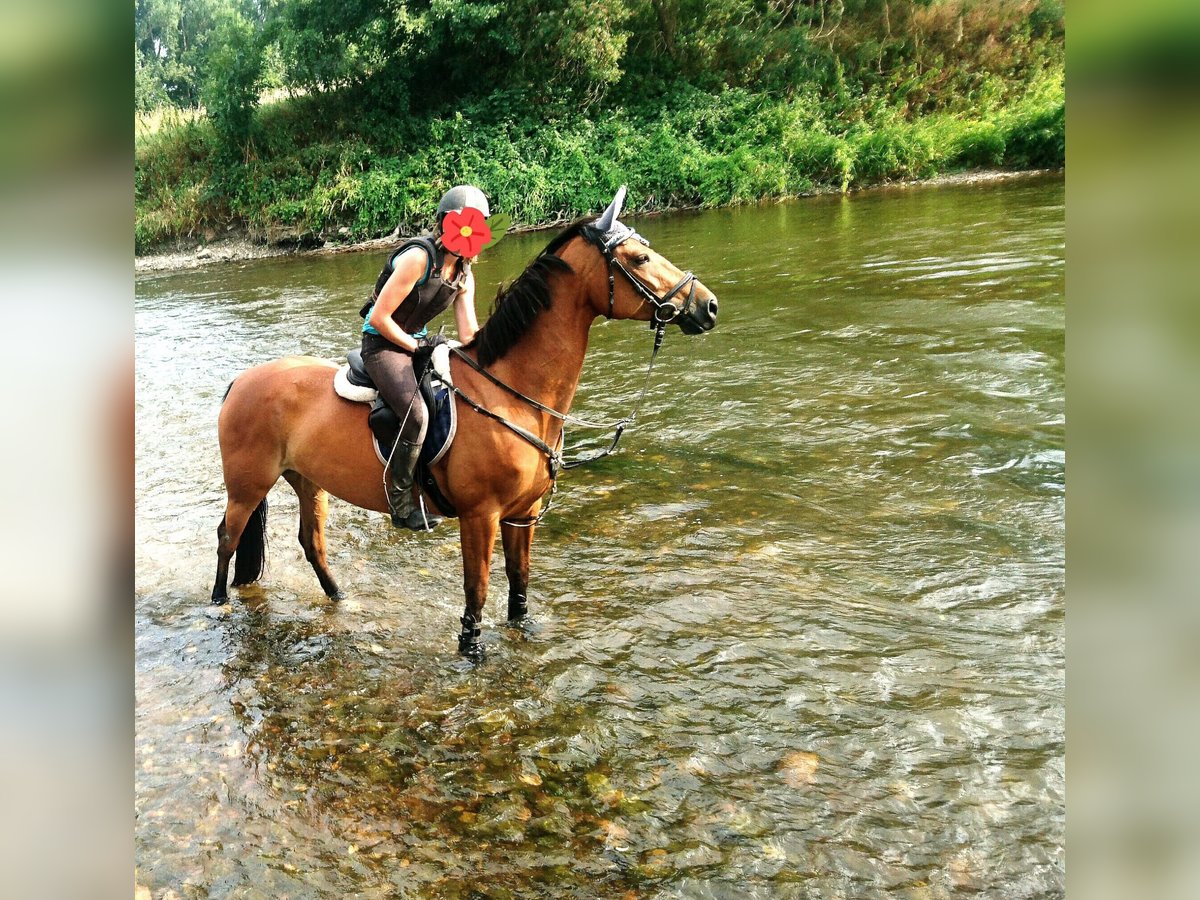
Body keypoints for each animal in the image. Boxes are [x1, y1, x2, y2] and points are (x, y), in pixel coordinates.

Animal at [211, 190, 715, 657]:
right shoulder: (481, 515)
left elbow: (519, 580)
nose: (707, 306)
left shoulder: (522, 514)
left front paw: (522, 629)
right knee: (227, 537)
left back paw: (341, 600)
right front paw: (471, 649)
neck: (513, 396)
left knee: (311, 542)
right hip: (249, 482)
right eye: (640, 258)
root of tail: (241, 380)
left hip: (307, 480)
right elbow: (479, 587)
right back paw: (218, 604)